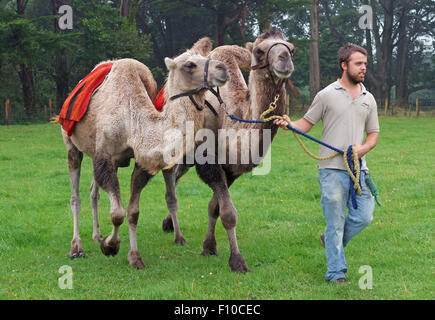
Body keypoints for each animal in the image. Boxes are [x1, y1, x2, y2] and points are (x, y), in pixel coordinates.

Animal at [63, 37, 232, 268]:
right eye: (189, 64)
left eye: (205, 57)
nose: (223, 69)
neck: (132, 119)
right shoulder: (105, 154)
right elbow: (117, 213)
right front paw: (110, 246)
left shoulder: (137, 160)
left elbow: (132, 211)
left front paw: (133, 256)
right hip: (71, 144)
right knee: (75, 197)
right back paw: (76, 247)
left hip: (109, 159)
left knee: (93, 192)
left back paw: (97, 235)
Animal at [160, 28, 296, 272]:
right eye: (260, 51)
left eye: (292, 48)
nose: (284, 59)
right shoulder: (208, 162)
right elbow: (228, 213)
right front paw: (237, 261)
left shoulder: (230, 169)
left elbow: (214, 208)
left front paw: (209, 246)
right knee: (171, 180)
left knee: (176, 178)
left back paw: (168, 224)